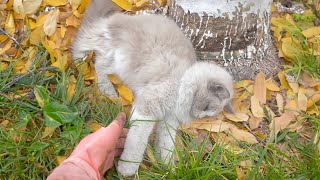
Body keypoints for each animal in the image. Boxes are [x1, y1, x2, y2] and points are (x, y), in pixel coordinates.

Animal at [71, 0, 234, 176]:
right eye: (207, 107)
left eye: (208, 115)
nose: (197, 116)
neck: (183, 81)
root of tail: (124, 18)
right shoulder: (147, 111)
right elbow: (137, 143)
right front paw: (127, 169)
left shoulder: (168, 122)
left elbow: (166, 146)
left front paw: (170, 169)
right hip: (112, 52)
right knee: (86, 42)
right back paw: (80, 65)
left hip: (115, 62)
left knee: (99, 63)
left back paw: (107, 90)